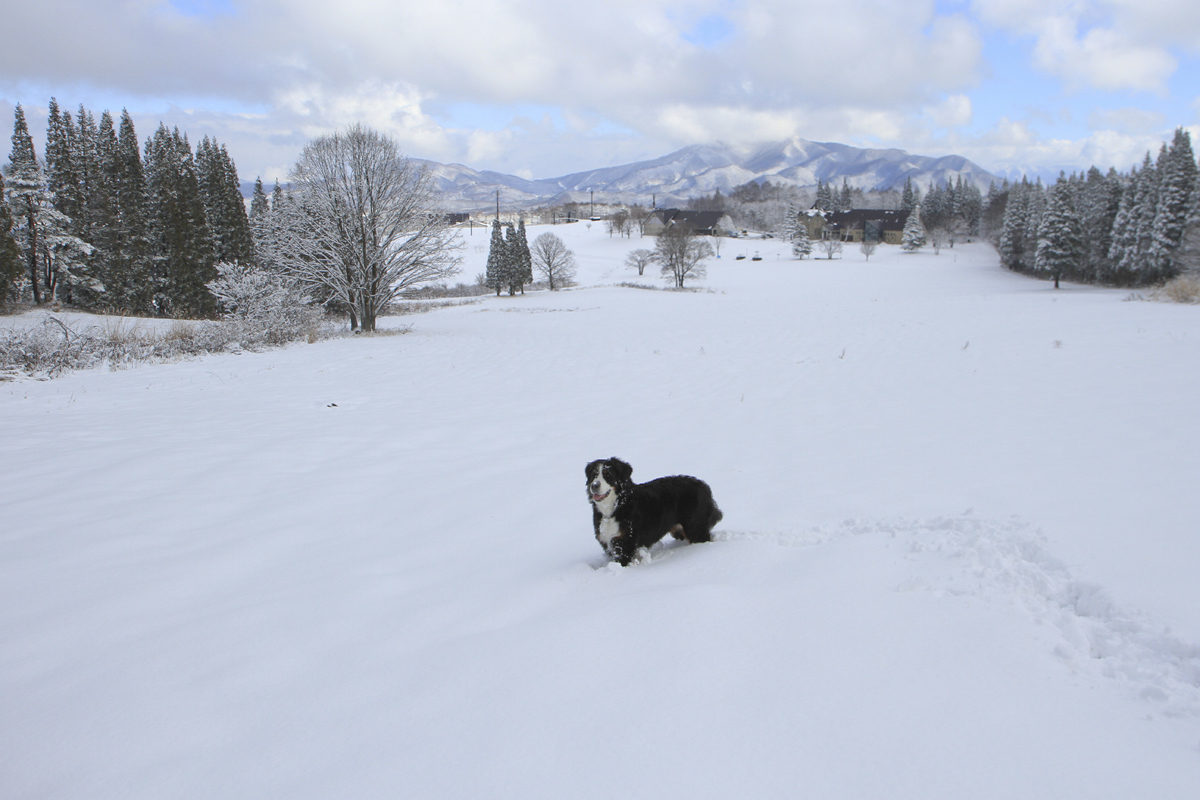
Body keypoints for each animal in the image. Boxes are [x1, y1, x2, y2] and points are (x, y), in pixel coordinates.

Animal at [583, 460, 720, 566]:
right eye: (594, 475)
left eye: (608, 475)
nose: (594, 485)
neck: (614, 508)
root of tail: (704, 486)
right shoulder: (607, 542)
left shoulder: (625, 542)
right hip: (678, 529)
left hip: (695, 527)